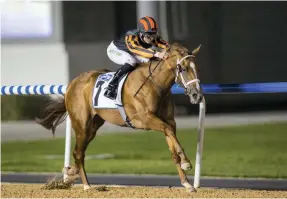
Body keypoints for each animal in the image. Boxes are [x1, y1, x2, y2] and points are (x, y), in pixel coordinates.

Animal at [36, 42, 204, 193]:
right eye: (183, 68)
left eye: (196, 68)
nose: (197, 95)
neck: (155, 84)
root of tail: (72, 83)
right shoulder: (144, 119)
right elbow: (169, 132)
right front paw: (186, 162)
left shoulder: (168, 121)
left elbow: (172, 147)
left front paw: (187, 183)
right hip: (82, 125)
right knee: (78, 153)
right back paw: (86, 186)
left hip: (93, 126)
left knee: (79, 152)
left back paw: (73, 173)